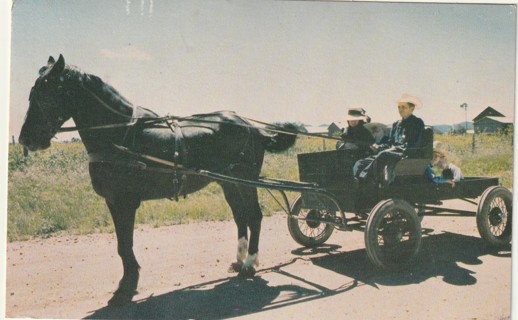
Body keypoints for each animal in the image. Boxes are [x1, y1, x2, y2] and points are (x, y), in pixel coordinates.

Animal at [19, 55, 296, 304]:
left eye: (45, 92)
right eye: (32, 92)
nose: (25, 139)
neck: (119, 134)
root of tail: (254, 127)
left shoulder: (124, 202)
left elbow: (125, 244)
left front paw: (127, 286)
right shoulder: (113, 202)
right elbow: (122, 244)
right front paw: (128, 282)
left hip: (245, 179)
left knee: (254, 217)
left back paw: (249, 264)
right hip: (229, 182)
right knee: (240, 217)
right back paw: (239, 260)